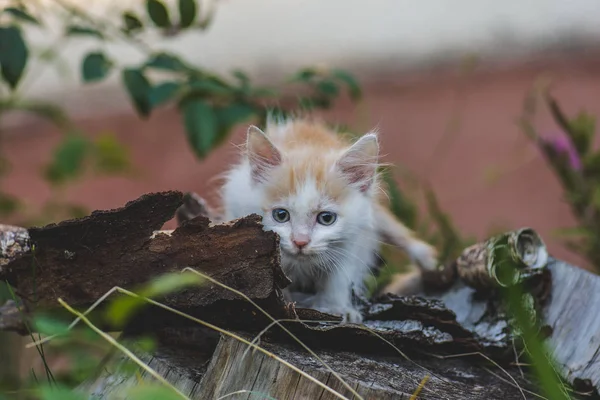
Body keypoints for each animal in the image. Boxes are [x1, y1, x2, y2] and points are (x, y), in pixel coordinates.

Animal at [220, 118, 436, 322]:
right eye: (281, 215)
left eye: (326, 218)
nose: (300, 242)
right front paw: (282, 300)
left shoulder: (355, 237)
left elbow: (340, 275)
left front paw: (337, 308)